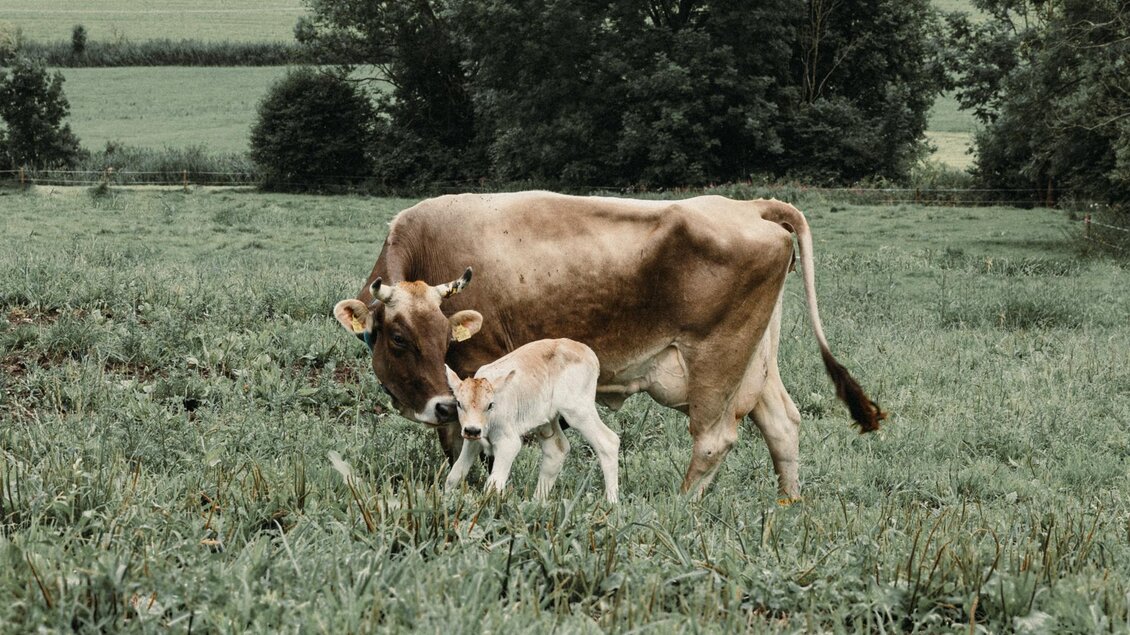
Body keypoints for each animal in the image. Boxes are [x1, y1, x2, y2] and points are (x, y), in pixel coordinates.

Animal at [443, 338, 619, 502]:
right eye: (459, 403)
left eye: (490, 405)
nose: (472, 430)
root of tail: (585, 350)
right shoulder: (472, 441)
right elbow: (455, 474)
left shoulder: (508, 443)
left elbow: (493, 485)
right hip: (547, 420)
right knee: (556, 449)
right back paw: (537, 503)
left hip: (578, 410)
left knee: (608, 442)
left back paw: (612, 502)